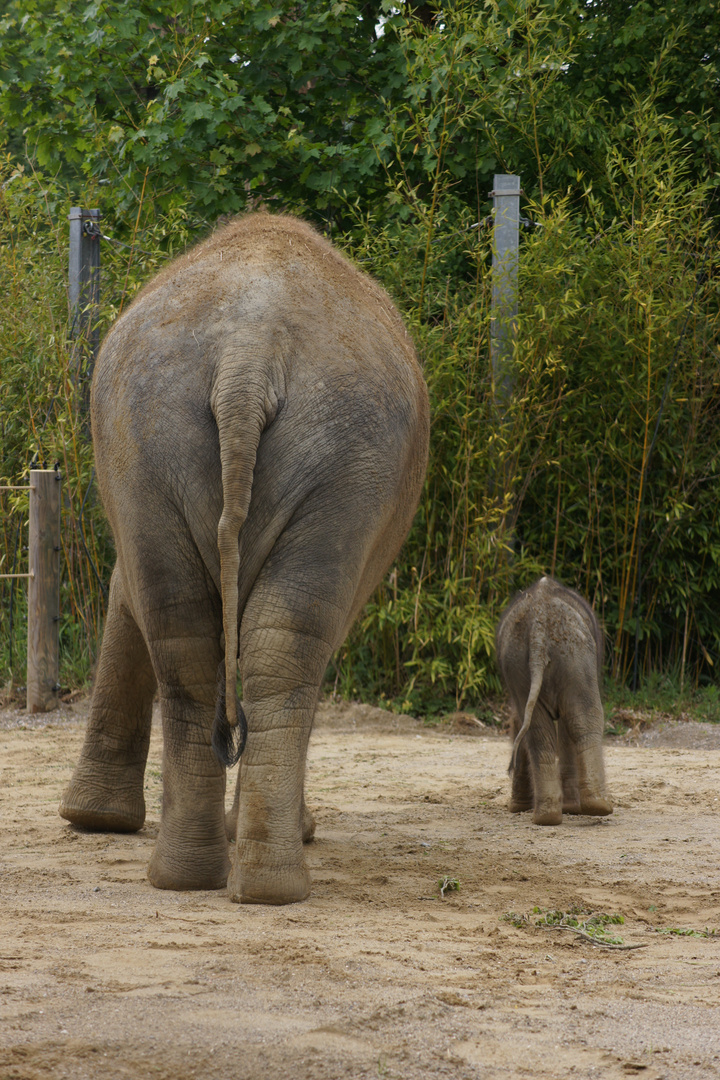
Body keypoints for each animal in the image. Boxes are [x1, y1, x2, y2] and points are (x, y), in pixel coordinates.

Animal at [60, 210, 427, 902]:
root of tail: (248, 357)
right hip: (323, 453)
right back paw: (255, 881)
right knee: (269, 645)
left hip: (160, 441)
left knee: (193, 638)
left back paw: (206, 880)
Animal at [498, 578, 613, 820]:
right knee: (579, 718)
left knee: (542, 728)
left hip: (527, 661)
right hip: (574, 654)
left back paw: (553, 815)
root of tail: (539, 631)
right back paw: (588, 808)